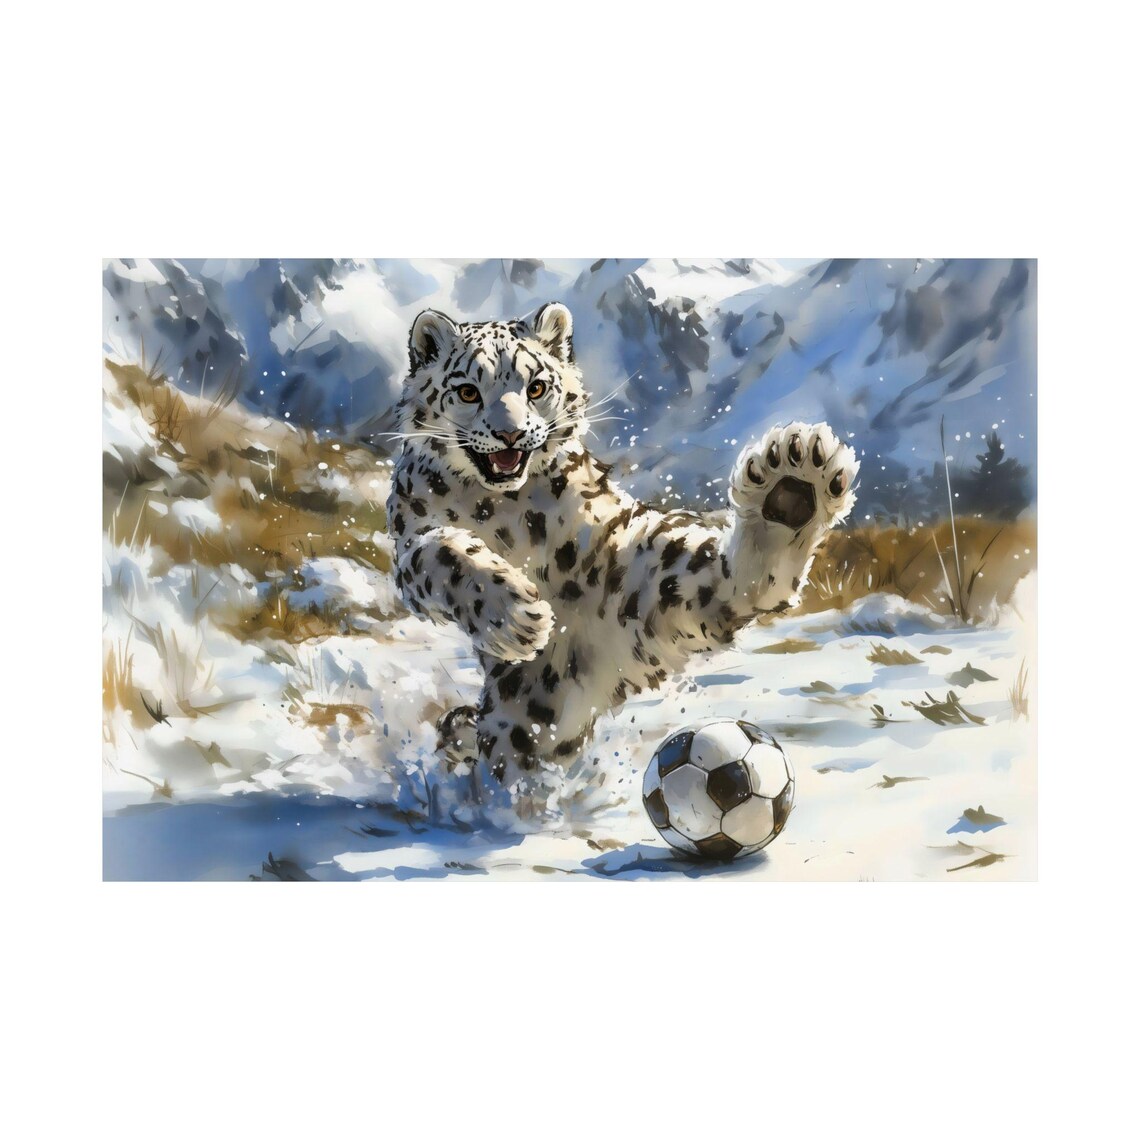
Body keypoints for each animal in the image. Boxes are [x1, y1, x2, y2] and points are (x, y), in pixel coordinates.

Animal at [386, 302, 858, 789]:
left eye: (536, 387)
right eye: (467, 392)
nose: (510, 435)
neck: (505, 508)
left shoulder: (612, 546)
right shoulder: (412, 538)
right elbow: (445, 554)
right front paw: (516, 616)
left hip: (642, 594)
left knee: (727, 580)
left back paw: (792, 488)